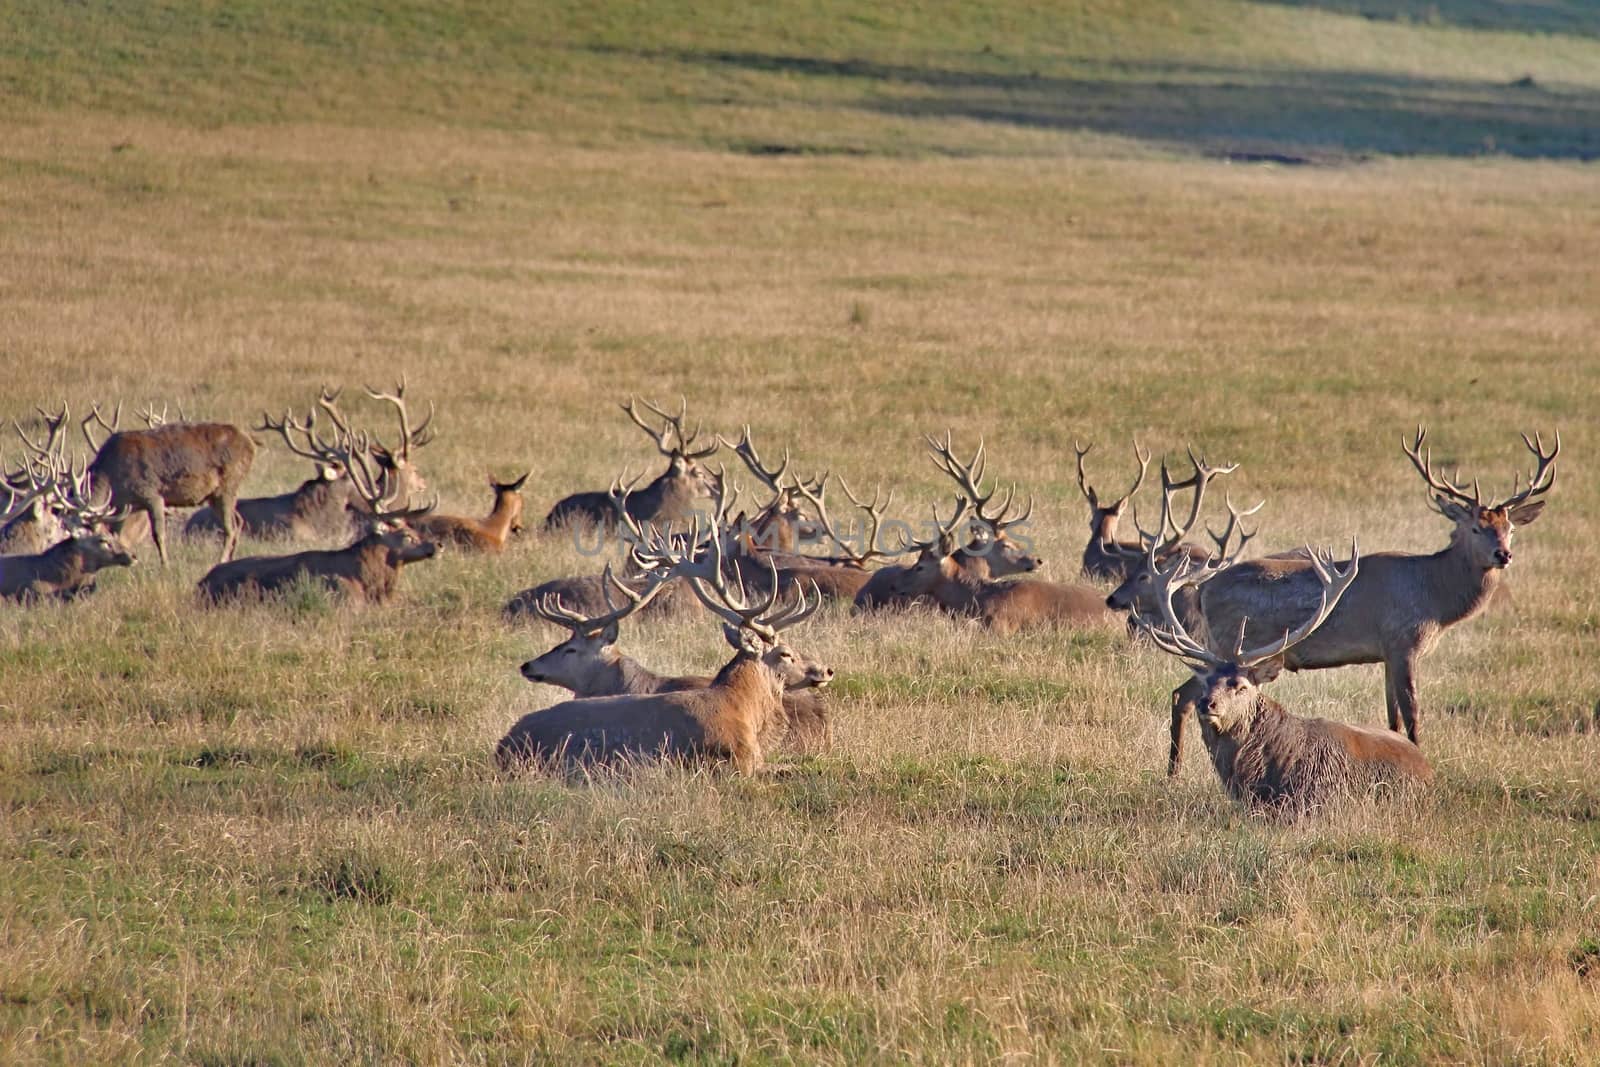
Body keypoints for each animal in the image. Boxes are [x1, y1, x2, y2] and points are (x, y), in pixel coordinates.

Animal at [81, 403, 254, 566]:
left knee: (230, 527)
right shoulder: (125, 505)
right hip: (215, 495)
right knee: (238, 521)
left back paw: (221, 560)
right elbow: (119, 534)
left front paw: (165, 565)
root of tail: (250, 444)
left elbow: (158, 534)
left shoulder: (151, 493)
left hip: (228, 485)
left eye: (97, 539)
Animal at [196, 415, 441, 604]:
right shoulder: (343, 597)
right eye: (406, 535)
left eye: (413, 527)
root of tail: (200, 584)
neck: (366, 579)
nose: (438, 545)